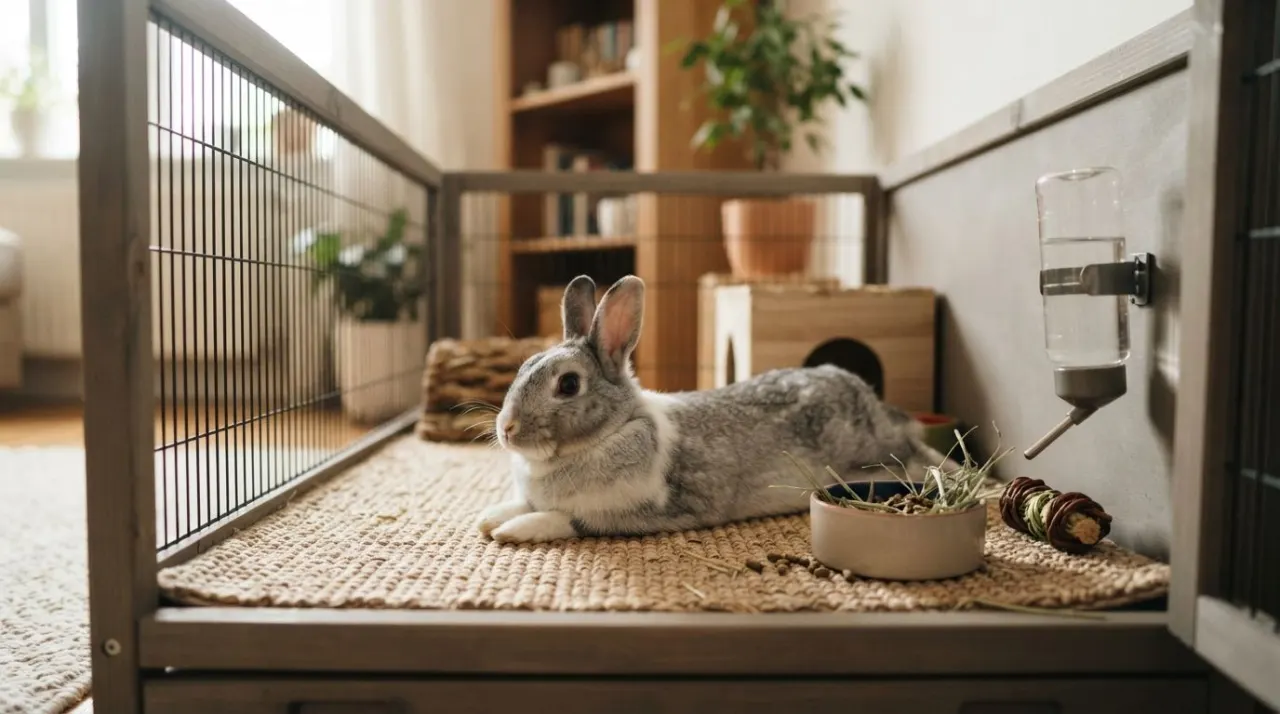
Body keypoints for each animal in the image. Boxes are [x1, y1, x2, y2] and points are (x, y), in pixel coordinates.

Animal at [476, 274, 955, 544]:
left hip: (880, 454)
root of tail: (867, 395)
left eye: (568, 384)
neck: (616, 428)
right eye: (524, 366)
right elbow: (522, 503)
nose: (506, 429)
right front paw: (488, 518)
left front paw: (512, 530)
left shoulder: (635, 513)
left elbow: (566, 518)